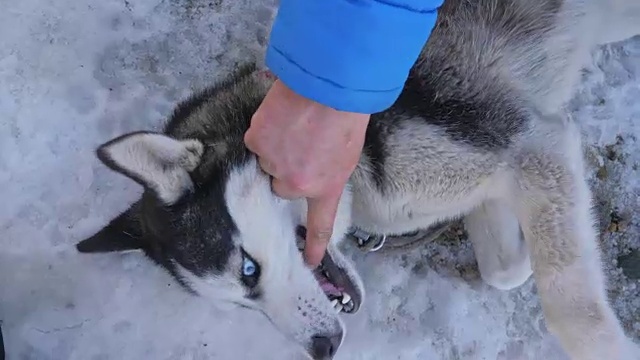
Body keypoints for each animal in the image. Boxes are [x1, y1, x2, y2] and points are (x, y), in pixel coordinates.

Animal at [76, 0, 640, 358]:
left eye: (248, 271)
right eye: (237, 303)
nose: (322, 349)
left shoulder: (532, 142)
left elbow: (573, 308)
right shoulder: (525, 156)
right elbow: (505, 268)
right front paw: (509, 244)